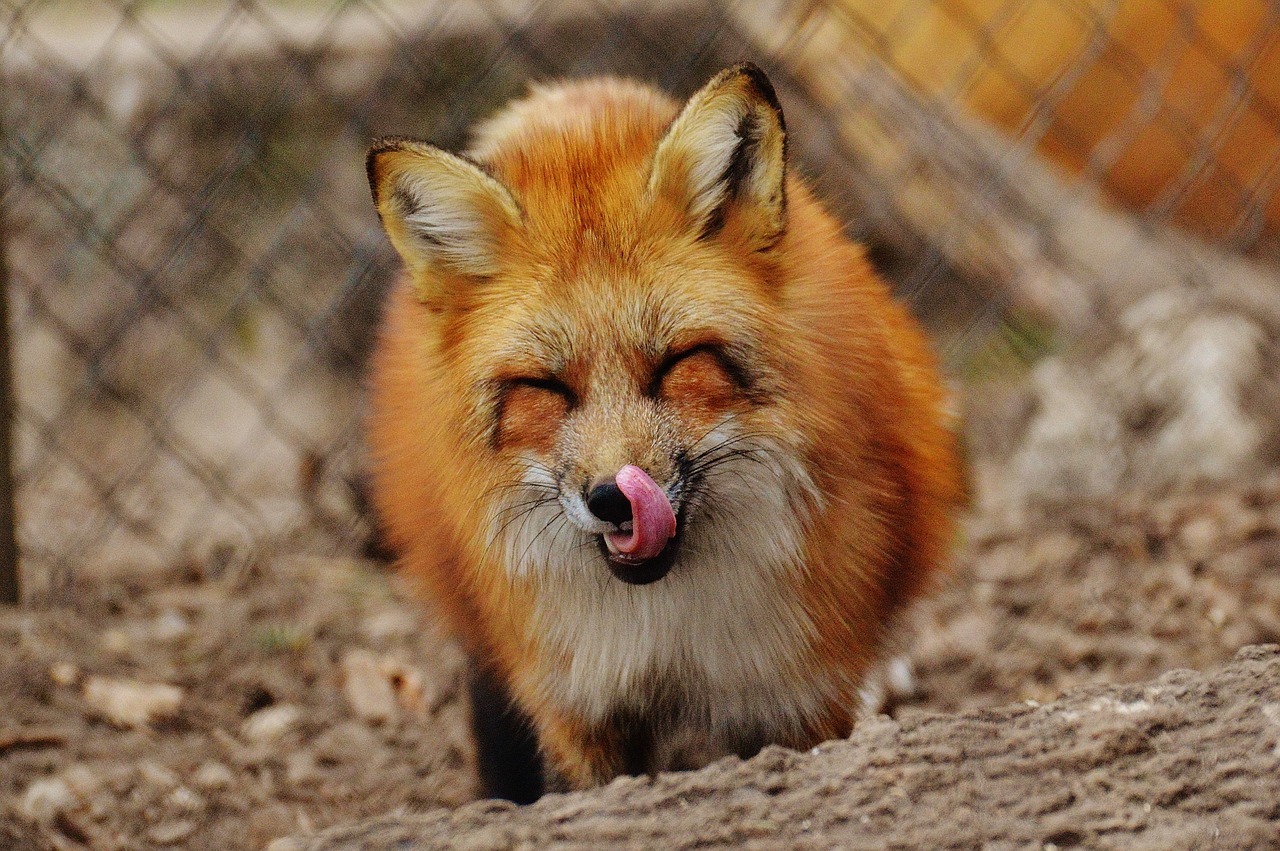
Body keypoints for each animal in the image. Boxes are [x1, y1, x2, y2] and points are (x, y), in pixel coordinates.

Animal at [360, 64, 962, 798]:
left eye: (676, 363)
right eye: (547, 388)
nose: (614, 498)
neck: (667, 630)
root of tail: (576, 94)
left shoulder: (798, 688)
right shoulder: (579, 704)